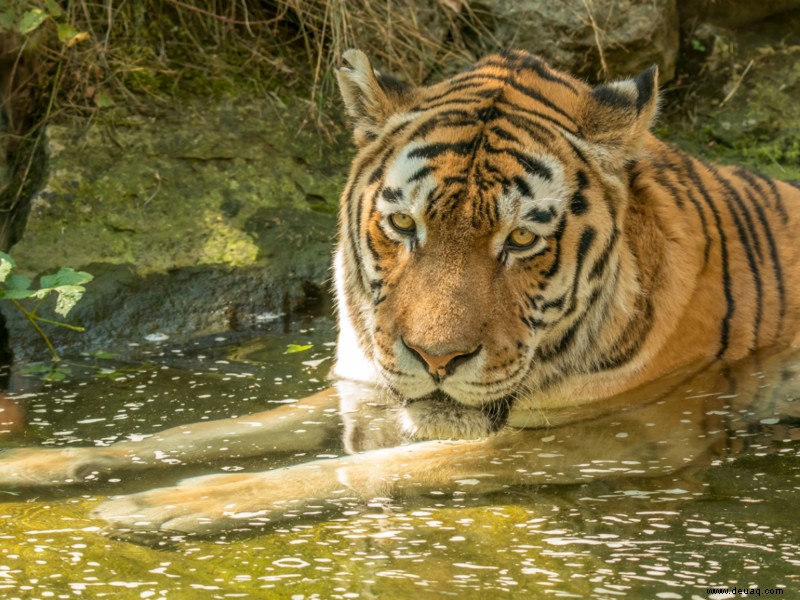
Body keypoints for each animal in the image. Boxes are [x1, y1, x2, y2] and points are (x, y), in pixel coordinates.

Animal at [0, 45, 796, 536]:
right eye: (404, 225)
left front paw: (165, 505)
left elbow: (386, 463)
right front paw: (32, 463)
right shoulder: (362, 382)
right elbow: (200, 432)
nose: (438, 360)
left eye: (521, 241)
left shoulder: (630, 431)